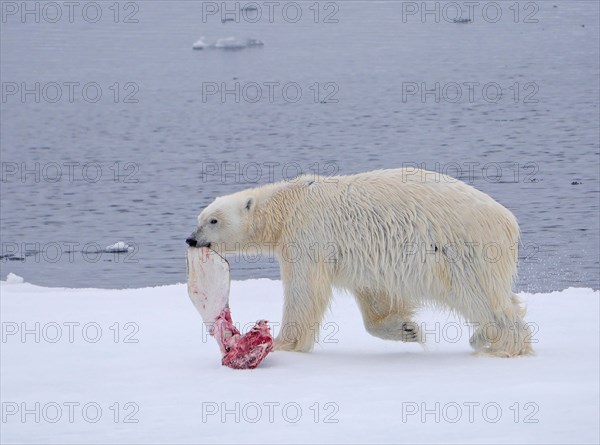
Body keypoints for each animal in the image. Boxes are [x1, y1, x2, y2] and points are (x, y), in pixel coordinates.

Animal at [185, 168, 532, 356]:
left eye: (213, 221)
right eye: (200, 219)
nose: (191, 239)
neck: (288, 203)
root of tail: (508, 221)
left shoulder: (308, 232)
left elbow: (304, 290)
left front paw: (284, 343)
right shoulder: (363, 256)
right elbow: (375, 297)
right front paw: (407, 329)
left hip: (463, 248)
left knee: (480, 296)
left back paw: (502, 343)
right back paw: (484, 337)